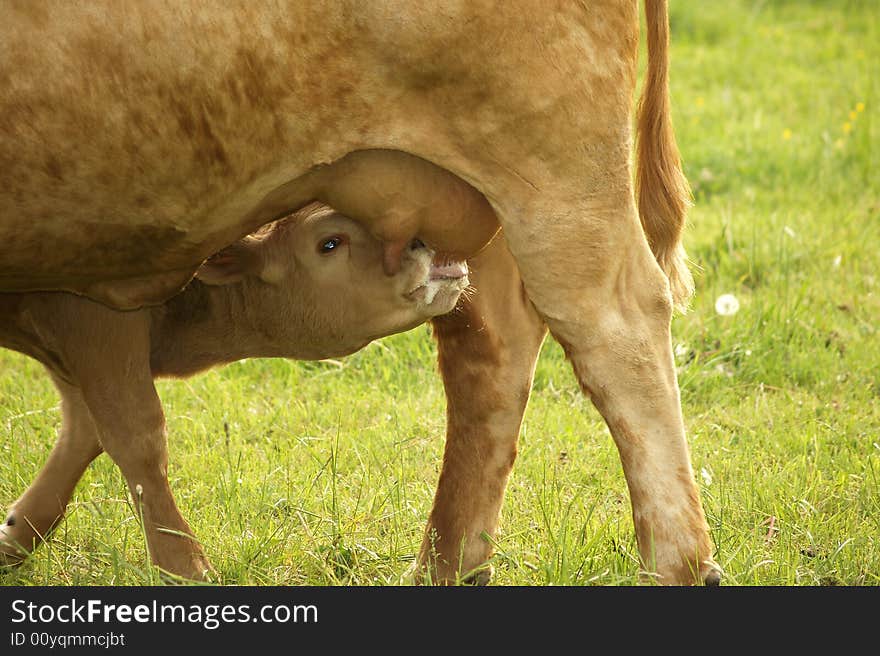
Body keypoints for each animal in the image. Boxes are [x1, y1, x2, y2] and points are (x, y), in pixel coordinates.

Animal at [0, 202, 470, 576]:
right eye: (329, 242)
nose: (424, 240)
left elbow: (82, 432)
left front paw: (14, 536)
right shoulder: (96, 320)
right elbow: (136, 437)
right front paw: (185, 567)